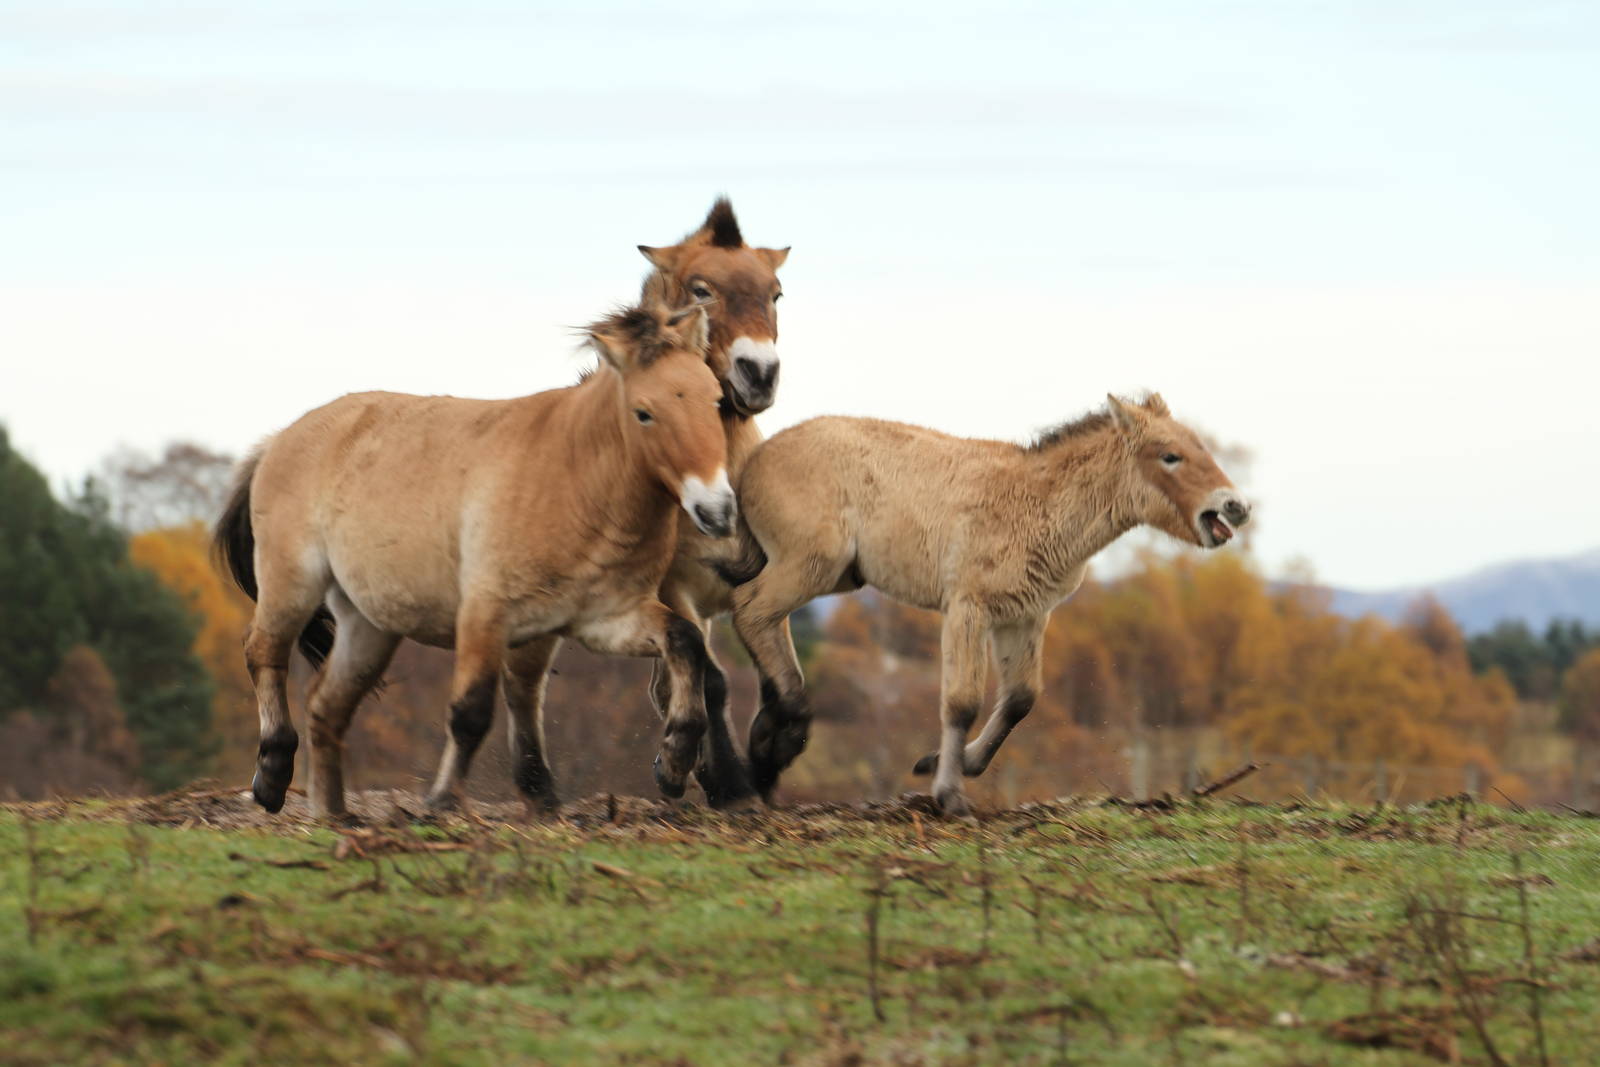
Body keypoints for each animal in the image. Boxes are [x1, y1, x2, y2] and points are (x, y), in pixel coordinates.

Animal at [213, 302, 736, 820]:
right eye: (644, 413)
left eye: (715, 401)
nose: (717, 510)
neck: (576, 475)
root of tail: (279, 439)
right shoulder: (486, 615)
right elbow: (471, 711)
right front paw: (442, 801)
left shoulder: (601, 620)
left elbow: (685, 641)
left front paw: (673, 762)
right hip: (292, 585)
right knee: (263, 653)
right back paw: (272, 777)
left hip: (369, 625)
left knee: (327, 706)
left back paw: (334, 815)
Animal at [723, 393, 1252, 816]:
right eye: (1170, 456)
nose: (1236, 507)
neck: (1037, 502)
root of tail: (753, 462)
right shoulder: (967, 610)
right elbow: (962, 702)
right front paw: (949, 794)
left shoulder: (1025, 618)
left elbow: (1020, 699)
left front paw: (946, 762)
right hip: (811, 563)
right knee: (748, 608)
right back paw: (778, 737)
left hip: (835, 575)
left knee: (766, 621)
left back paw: (770, 739)